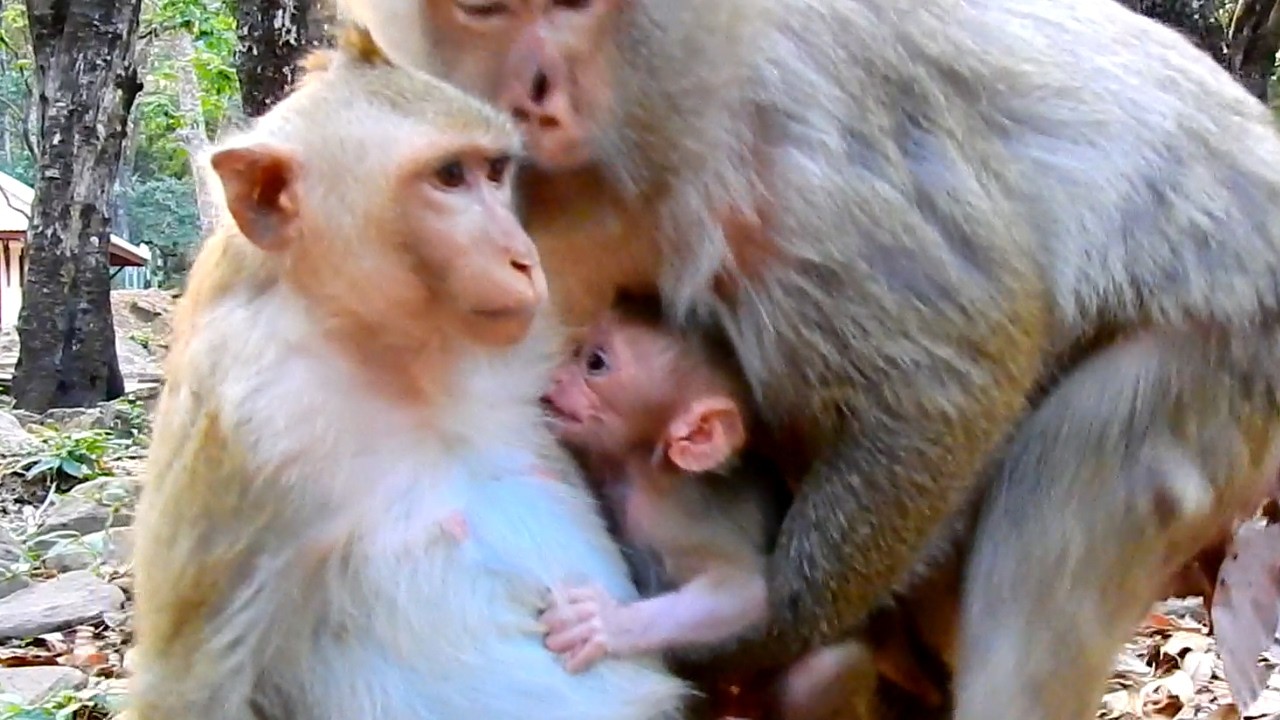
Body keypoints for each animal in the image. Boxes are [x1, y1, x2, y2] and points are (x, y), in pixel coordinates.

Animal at [123, 32, 689, 720]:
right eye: (448, 177)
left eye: (493, 171)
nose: (522, 259)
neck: (393, 352)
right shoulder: (239, 417)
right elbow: (191, 678)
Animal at [537, 293, 947, 719]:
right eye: (578, 351)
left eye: (595, 363)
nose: (556, 377)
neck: (641, 471)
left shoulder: (670, 515)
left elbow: (750, 594)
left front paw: (612, 625)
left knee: (824, 669)